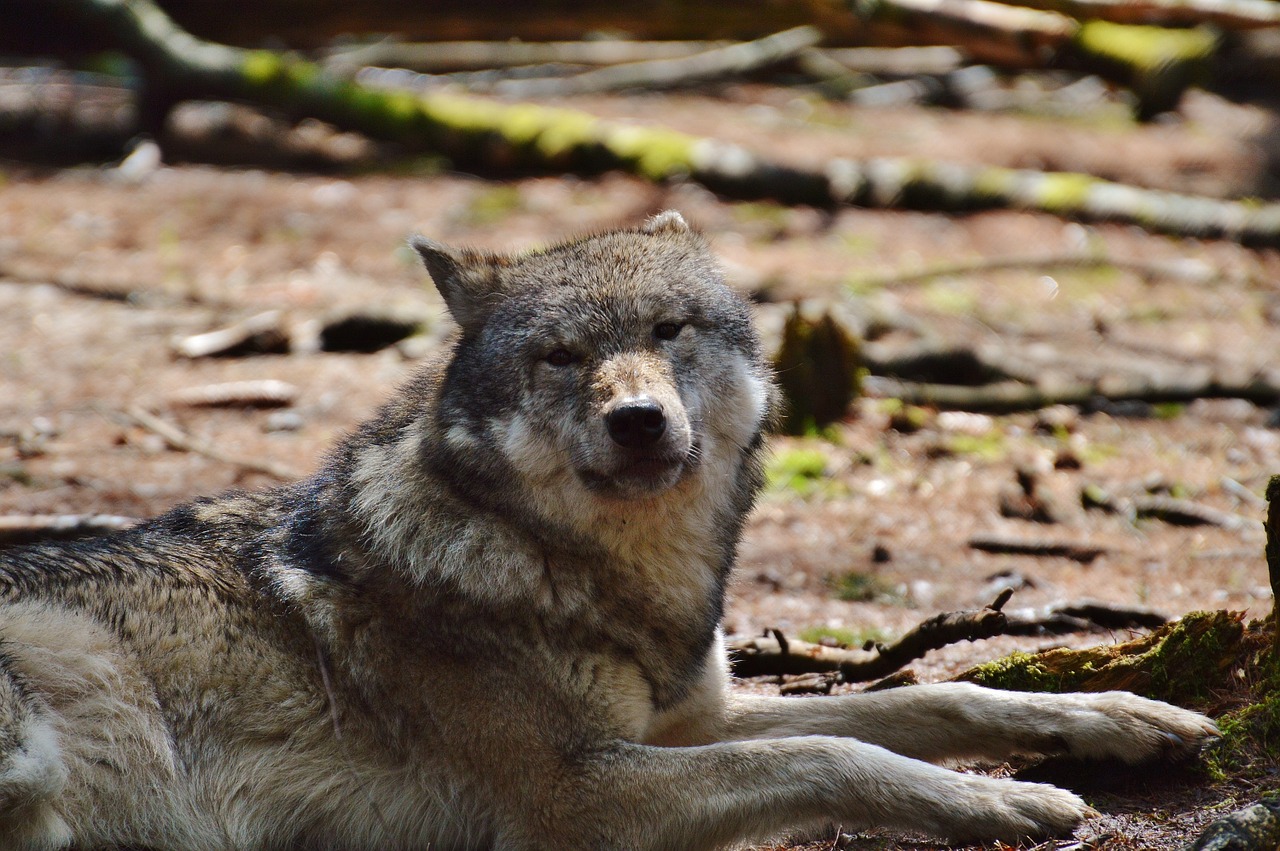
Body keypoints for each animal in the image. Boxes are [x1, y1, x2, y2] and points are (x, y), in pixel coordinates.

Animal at [0, 208, 1218, 844]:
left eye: (669, 329)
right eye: (561, 356)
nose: (637, 420)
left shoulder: (686, 720)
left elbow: (929, 699)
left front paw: (1121, 716)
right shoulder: (577, 792)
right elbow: (839, 745)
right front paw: (1001, 798)